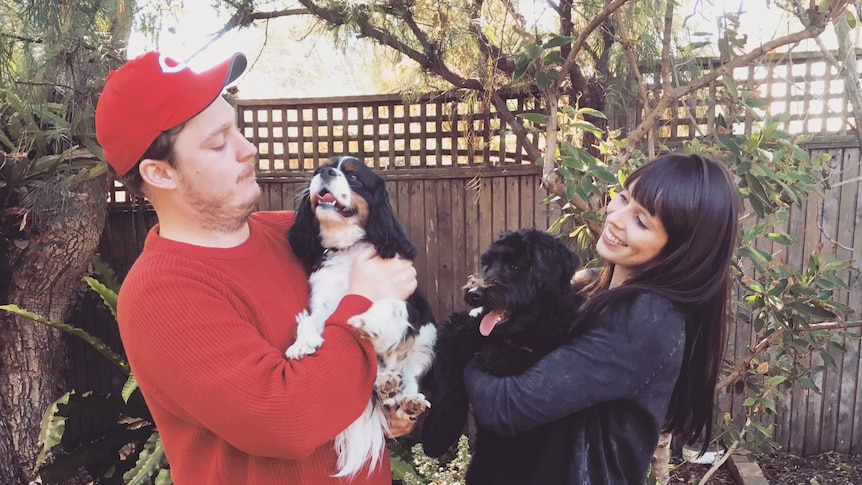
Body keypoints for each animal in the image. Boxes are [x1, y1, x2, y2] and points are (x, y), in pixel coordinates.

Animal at [286, 156, 438, 476]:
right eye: (319, 169)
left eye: (354, 177)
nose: (323, 171)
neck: (347, 249)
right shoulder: (324, 303)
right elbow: (309, 322)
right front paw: (302, 344)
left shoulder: (406, 304)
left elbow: (384, 308)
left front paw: (369, 323)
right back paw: (386, 382)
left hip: (424, 351)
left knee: (410, 379)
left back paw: (407, 397)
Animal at [420, 229, 584, 482]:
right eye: (487, 265)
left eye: (514, 266)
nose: (474, 293)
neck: (518, 336)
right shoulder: (458, 330)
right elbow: (448, 386)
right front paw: (436, 436)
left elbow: (533, 356)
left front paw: (498, 356)